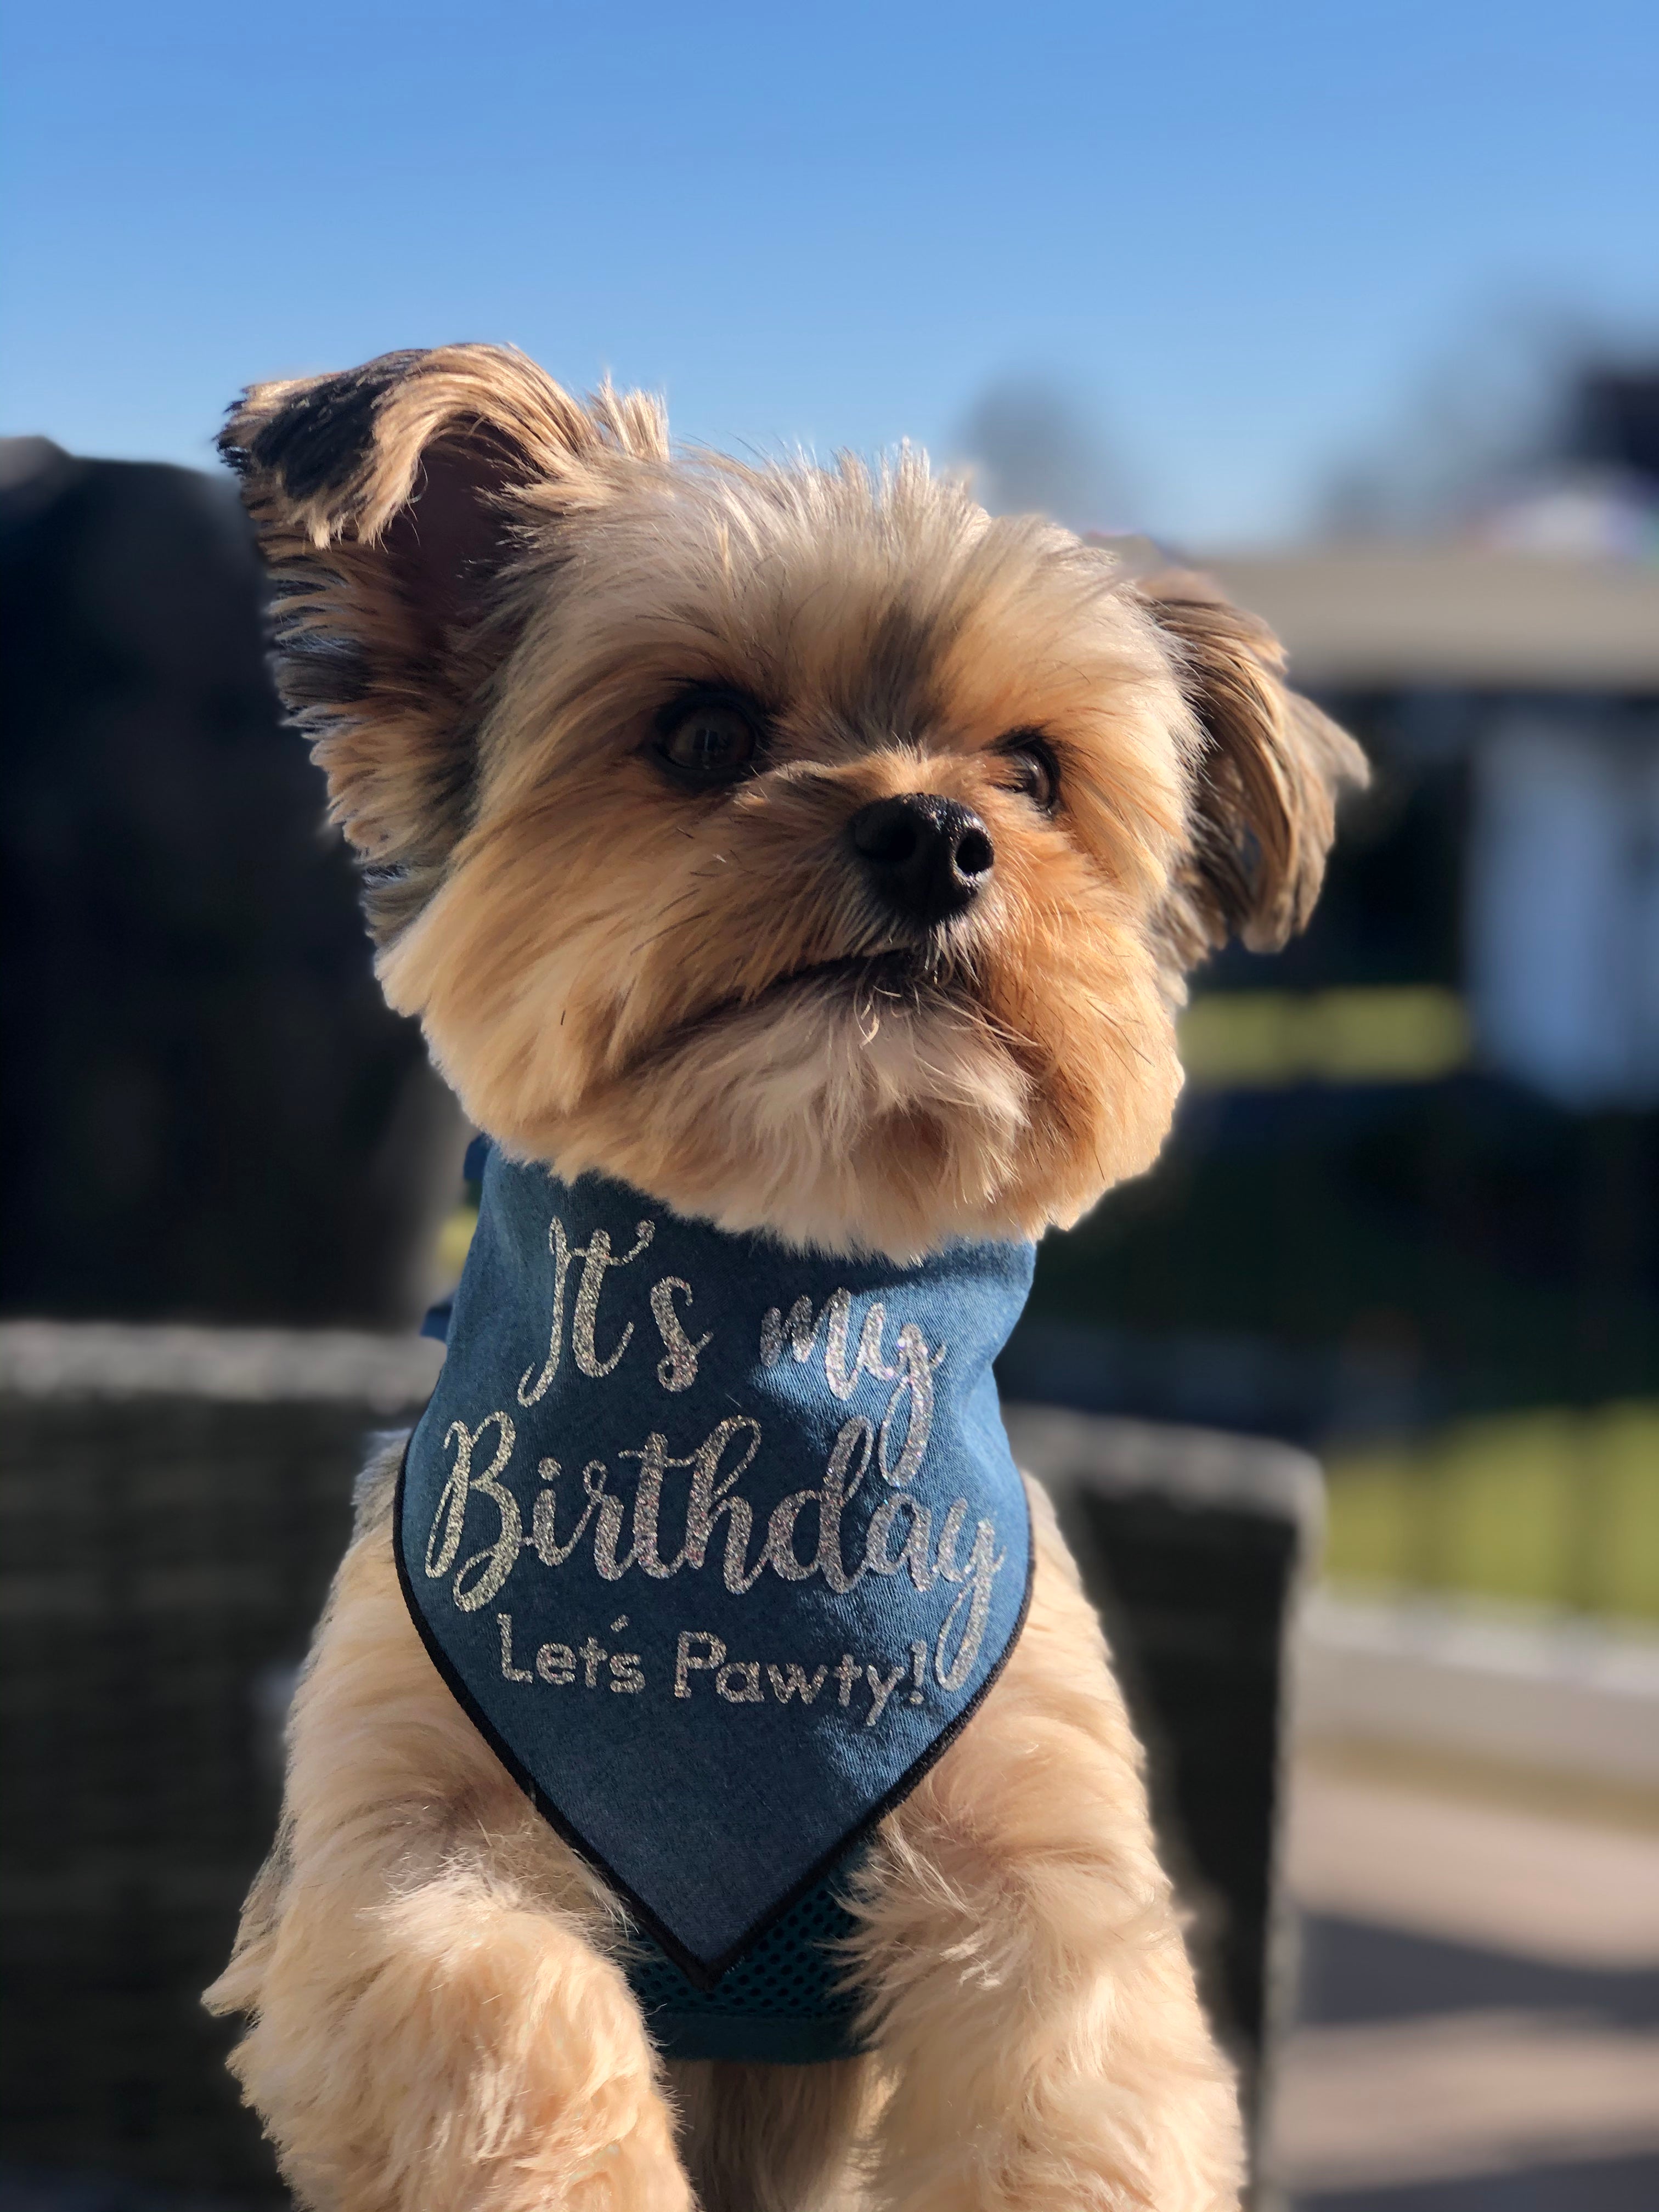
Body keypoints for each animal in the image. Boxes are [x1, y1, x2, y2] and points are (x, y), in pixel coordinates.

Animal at [201, 345, 1371, 2212]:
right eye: (702, 737)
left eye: (1037, 773)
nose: (936, 832)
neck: (776, 1322)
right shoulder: (396, 1859)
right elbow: (510, 2021)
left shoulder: (1050, 1875)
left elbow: (1065, 2109)